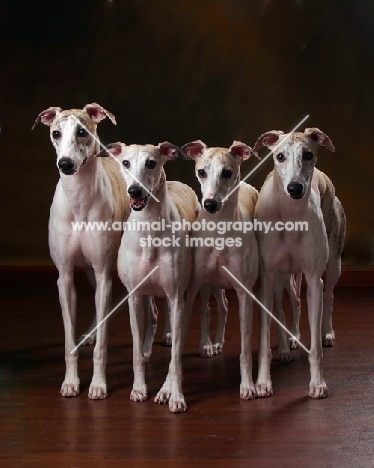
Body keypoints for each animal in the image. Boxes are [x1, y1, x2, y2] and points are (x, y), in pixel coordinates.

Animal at [31, 104, 130, 400]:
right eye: (56, 133)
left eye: (82, 131)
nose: (65, 164)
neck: (80, 200)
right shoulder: (65, 277)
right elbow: (68, 341)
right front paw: (71, 381)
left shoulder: (103, 273)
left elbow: (102, 348)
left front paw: (98, 384)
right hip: (88, 271)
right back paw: (90, 334)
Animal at [98, 141, 199, 412]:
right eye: (125, 163)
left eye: (151, 163)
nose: (135, 191)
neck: (149, 228)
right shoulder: (134, 296)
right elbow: (134, 348)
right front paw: (139, 388)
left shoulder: (176, 296)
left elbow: (175, 357)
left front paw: (175, 396)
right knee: (152, 316)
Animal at [182, 141, 258, 400]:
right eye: (201, 172)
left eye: (227, 172)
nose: (210, 204)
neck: (219, 230)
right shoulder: (192, 287)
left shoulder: (245, 292)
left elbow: (246, 347)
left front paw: (248, 385)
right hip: (208, 285)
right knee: (209, 309)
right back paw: (208, 344)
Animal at [253, 128, 346, 398]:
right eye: (280, 156)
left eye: (308, 155)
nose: (295, 188)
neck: (291, 216)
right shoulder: (267, 277)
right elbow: (266, 334)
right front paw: (263, 382)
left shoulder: (313, 278)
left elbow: (315, 347)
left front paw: (317, 383)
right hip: (283, 276)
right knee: (292, 302)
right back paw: (290, 340)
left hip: (333, 262)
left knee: (328, 294)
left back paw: (327, 332)